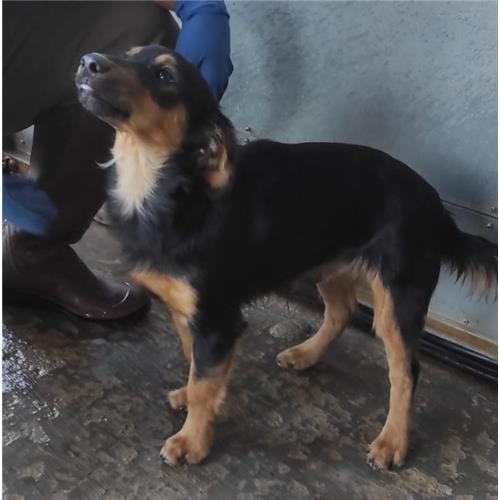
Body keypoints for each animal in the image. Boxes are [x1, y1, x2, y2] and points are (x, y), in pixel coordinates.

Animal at [75, 45, 497, 470]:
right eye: (127, 54)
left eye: (165, 77)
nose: (88, 62)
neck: (169, 188)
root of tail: (437, 206)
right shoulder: (188, 312)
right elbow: (196, 366)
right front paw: (199, 405)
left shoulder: (217, 319)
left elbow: (203, 383)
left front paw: (193, 441)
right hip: (330, 263)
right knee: (343, 311)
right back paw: (306, 354)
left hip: (399, 295)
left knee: (405, 370)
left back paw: (393, 441)